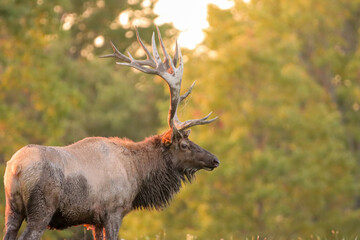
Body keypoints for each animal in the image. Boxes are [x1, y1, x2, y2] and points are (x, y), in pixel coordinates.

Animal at [3, 26, 219, 240]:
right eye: (184, 145)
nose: (215, 160)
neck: (138, 173)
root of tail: (16, 168)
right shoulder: (114, 211)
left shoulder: (94, 220)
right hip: (42, 208)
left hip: (12, 209)